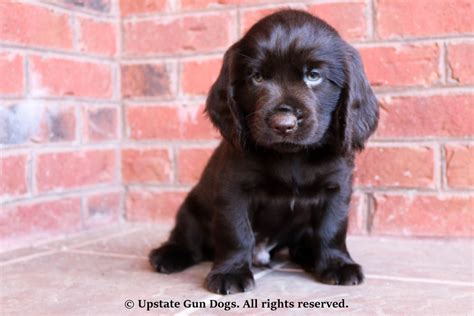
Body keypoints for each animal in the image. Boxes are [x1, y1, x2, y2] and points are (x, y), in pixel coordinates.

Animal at [150, 10, 380, 296]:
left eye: (314, 75)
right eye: (257, 77)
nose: (283, 124)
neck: (292, 157)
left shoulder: (337, 189)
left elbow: (332, 229)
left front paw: (337, 264)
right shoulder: (233, 190)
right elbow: (236, 233)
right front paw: (230, 272)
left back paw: (309, 255)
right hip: (191, 209)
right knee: (188, 240)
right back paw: (168, 254)